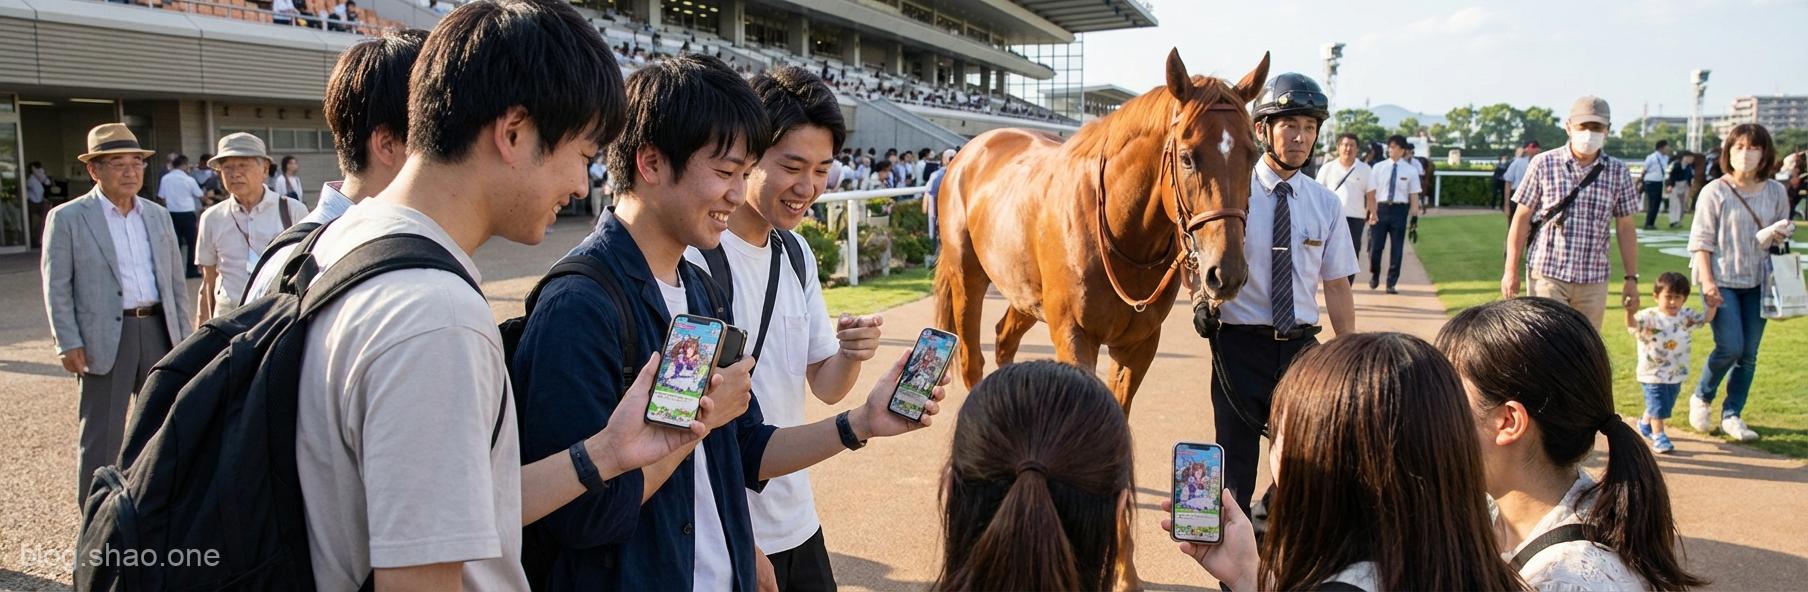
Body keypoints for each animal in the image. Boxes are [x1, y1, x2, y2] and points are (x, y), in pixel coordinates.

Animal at [933, 49, 1268, 412]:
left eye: (1253, 155)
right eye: (1187, 157)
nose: (1226, 272)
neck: (1127, 241)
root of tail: (970, 151)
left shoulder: (1139, 344)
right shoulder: (1074, 335)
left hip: (1026, 293)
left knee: (1004, 339)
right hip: (967, 278)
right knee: (972, 359)